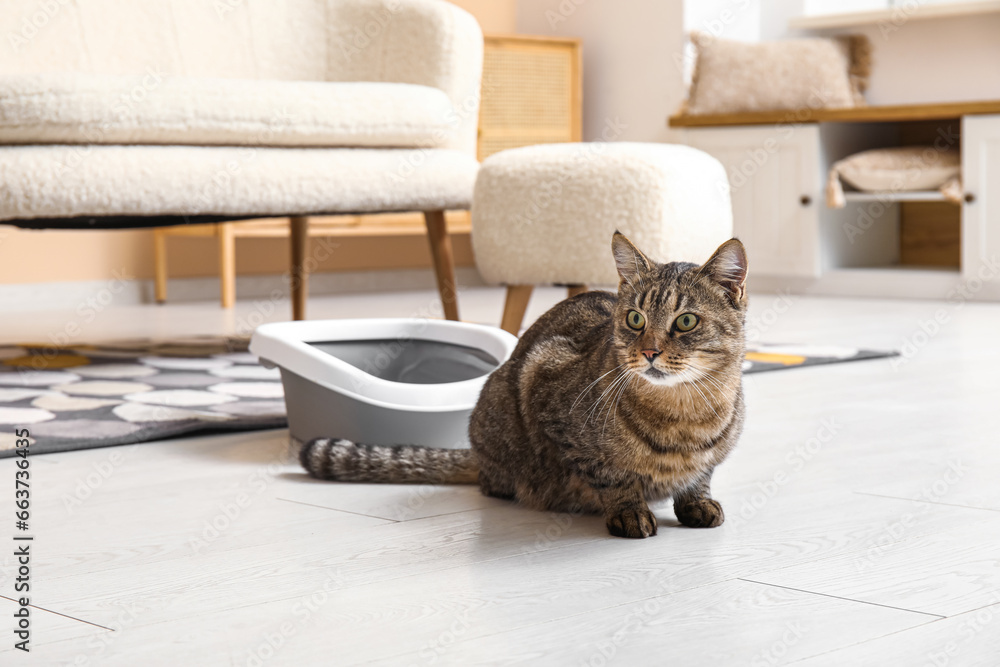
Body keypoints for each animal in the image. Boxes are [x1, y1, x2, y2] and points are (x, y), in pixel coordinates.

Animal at [300, 234, 748, 536]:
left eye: (685, 321)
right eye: (635, 319)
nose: (650, 351)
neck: (685, 413)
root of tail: (478, 456)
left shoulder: (717, 452)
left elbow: (701, 474)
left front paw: (696, 501)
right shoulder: (544, 377)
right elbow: (611, 475)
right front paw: (628, 509)